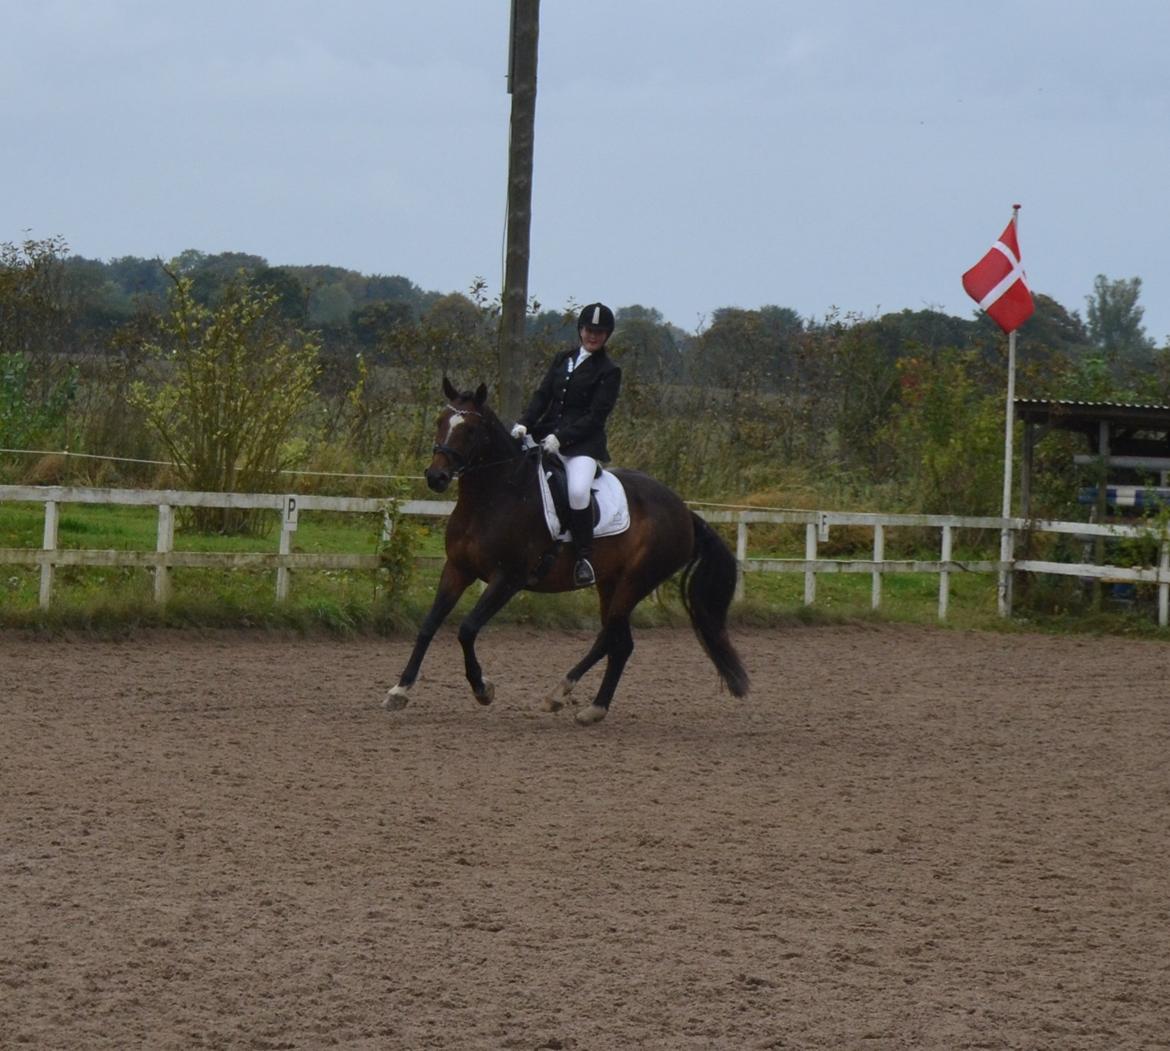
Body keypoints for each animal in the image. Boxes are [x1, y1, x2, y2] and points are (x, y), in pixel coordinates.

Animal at [383, 376, 748, 720]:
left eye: (471, 430)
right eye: (440, 420)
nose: (437, 477)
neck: (493, 497)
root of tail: (684, 511)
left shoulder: (508, 578)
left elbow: (467, 629)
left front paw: (482, 689)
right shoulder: (458, 569)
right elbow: (429, 625)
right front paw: (400, 690)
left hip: (635, 582)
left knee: (612, 637)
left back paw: (566, 696)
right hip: (610, 582)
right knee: (619, 643)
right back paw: (589, 707)